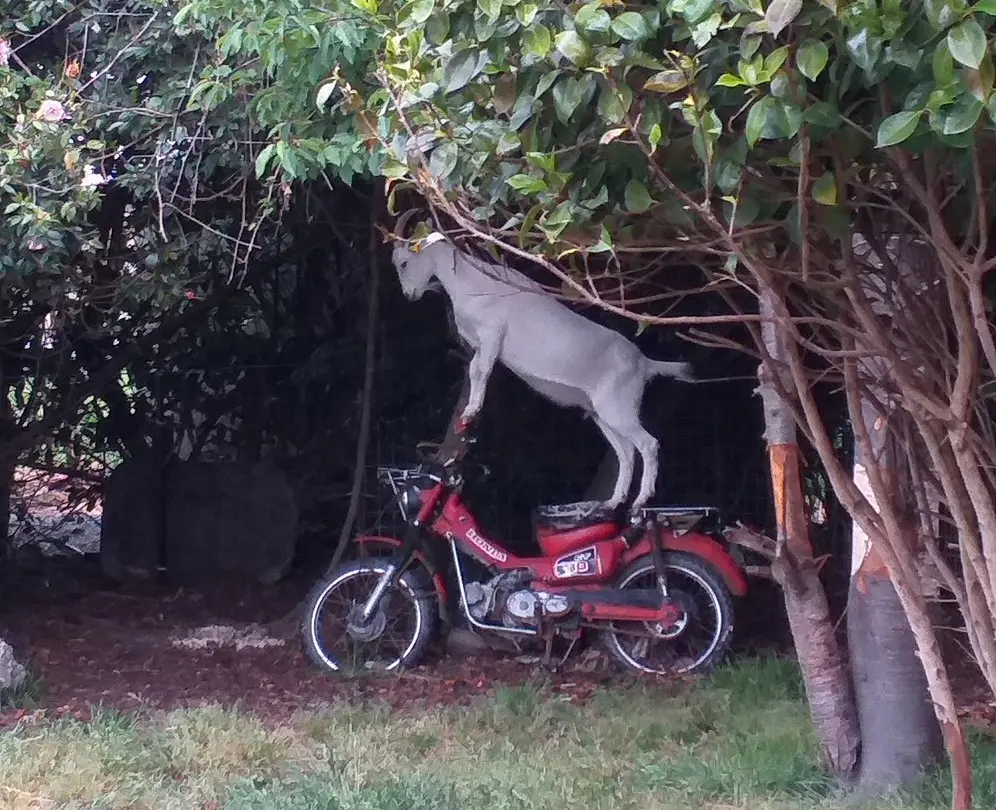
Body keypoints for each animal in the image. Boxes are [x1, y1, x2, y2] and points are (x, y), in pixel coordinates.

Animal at [390, 227, 692, 508]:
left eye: (403, 262)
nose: (408, 295)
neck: (469, 280)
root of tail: (644, 363)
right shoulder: (478, 342)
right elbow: (475, 368)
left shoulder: (491, 334)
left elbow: (480, 370)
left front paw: (471, 411)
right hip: (602, 414)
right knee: (626, 452)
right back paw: (614, 501)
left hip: (619, 406)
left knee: (647, 444)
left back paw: (641, 500)